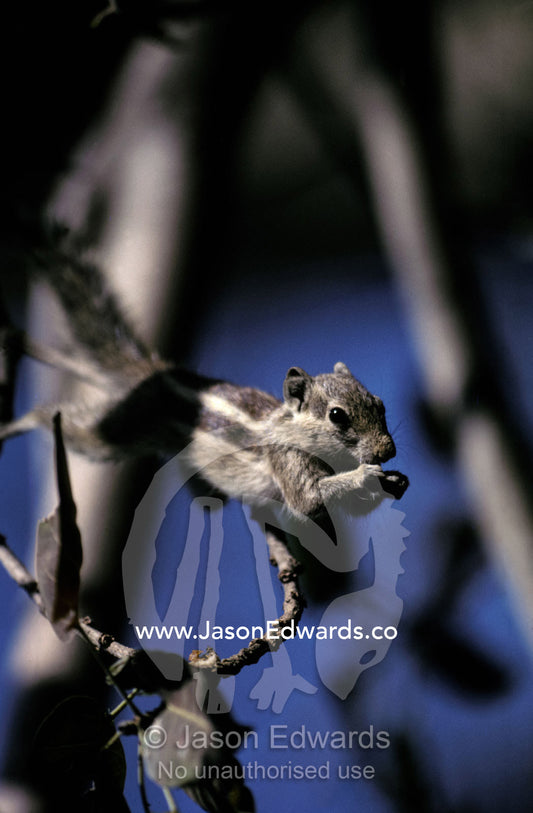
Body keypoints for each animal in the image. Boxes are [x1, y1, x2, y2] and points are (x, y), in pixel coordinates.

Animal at [0, 242, 409, 520]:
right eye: (337, 416)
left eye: (381, 405)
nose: (387, 451)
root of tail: (156, 373)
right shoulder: (286, 460)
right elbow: (308, 500)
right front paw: (365, 476)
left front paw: (396, 482)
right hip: (120, 429)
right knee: (67, 424)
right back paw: (21, 421)